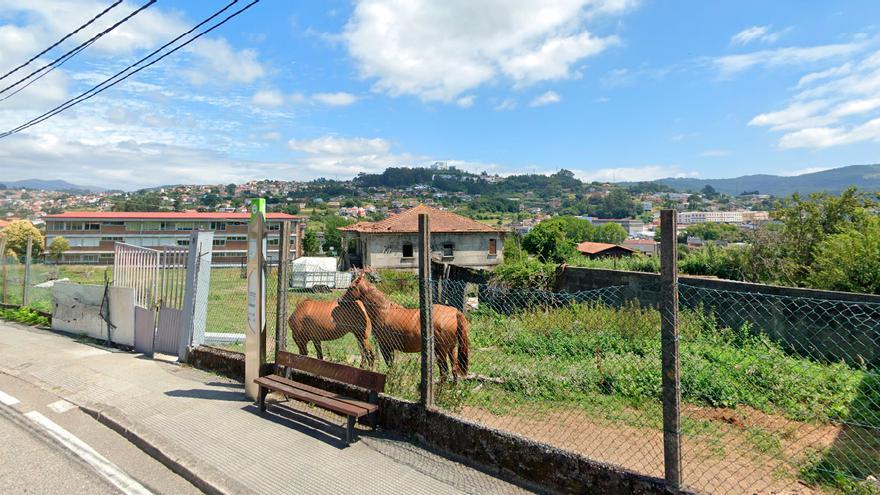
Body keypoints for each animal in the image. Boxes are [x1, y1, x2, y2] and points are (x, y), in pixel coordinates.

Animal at [340, 276, 470, 380]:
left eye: (351, 287)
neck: (383, 311)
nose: (340, 300)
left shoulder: (385, 346)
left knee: (444, 372)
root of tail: (454, 312)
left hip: (441, 350)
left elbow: (390, 366)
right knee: (454, 369)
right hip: (451, 349)